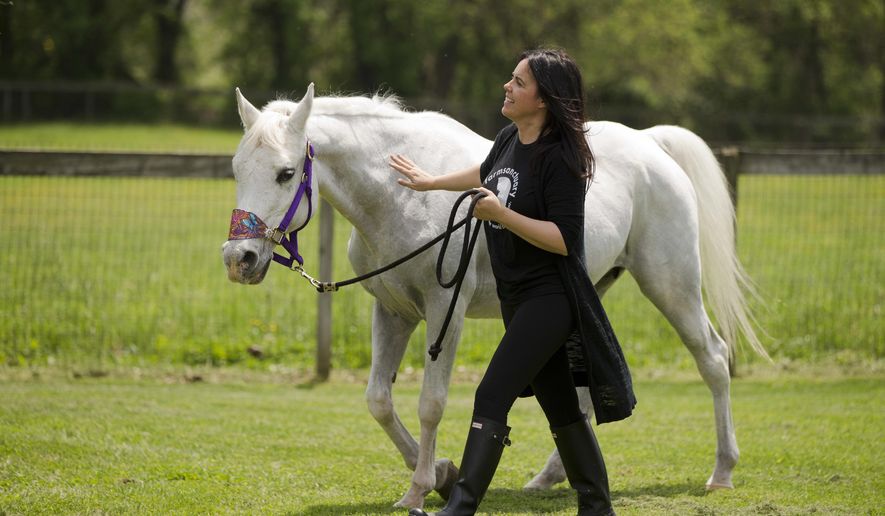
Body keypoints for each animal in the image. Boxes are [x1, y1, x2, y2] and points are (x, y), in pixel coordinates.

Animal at [221, 83, 766, 509]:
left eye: (286, 173)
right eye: (236, 168)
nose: (238, 259)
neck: (399, 195)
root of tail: (651, 145)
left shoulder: (446, 311)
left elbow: (431, 403)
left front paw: (421, 487)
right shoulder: (394, 311)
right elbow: (378, 400)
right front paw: (441, 474)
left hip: (672, 286)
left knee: (713, 359)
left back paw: (722, 471)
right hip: (590, 295)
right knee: (584, 392)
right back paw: (550, 477)